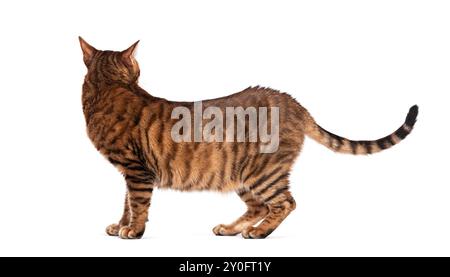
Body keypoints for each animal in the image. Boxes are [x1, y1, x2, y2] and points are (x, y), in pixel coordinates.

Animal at [78, 37, 418, 239]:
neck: (108, 89)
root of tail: (293, 103)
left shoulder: (136, 170)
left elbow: (138, 204)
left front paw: (133, 231)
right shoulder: (130, 172)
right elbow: (127, 203)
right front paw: (121, 225)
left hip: (263, 172)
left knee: (285, 203)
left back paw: (260, 233)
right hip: (241, 173)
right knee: (260, 207)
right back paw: (230, 228)